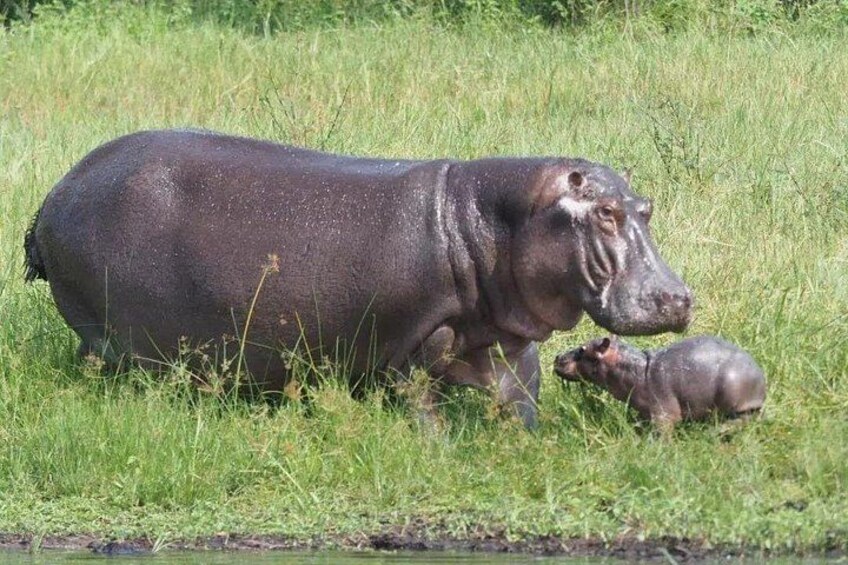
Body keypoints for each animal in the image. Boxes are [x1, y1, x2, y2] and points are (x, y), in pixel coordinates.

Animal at [24, 129, 693, 428]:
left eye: (645, 208)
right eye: (604, 212)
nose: (678, 298)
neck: (489, 216)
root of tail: (55, 191)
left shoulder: (501, 334)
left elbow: (520, 391)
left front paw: (525, 439)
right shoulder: (416, 335)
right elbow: (418, 395)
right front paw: (435, 444)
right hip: (109, 335)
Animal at [554, 335, 766, 429]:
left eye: (582, 350)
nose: (557, 357)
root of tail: (761, 376)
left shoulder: (663, 412)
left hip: (736, 398)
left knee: (747, 418)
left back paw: (718, 431)